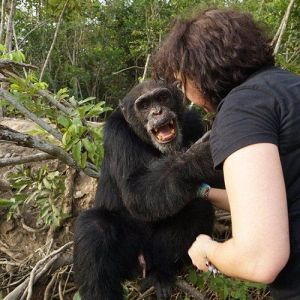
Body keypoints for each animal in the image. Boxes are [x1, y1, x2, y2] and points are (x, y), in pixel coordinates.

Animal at [74, 79, 221, 300]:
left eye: (162, 97)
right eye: (143, 105)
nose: (157, 111)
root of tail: (140, 265)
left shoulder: (194, 122)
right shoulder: (117, 135)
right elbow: (135, 193)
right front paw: (197, 157)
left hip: (151, 254)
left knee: (198, 208)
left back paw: (161, 274)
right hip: (126, 260)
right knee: (94, 227)